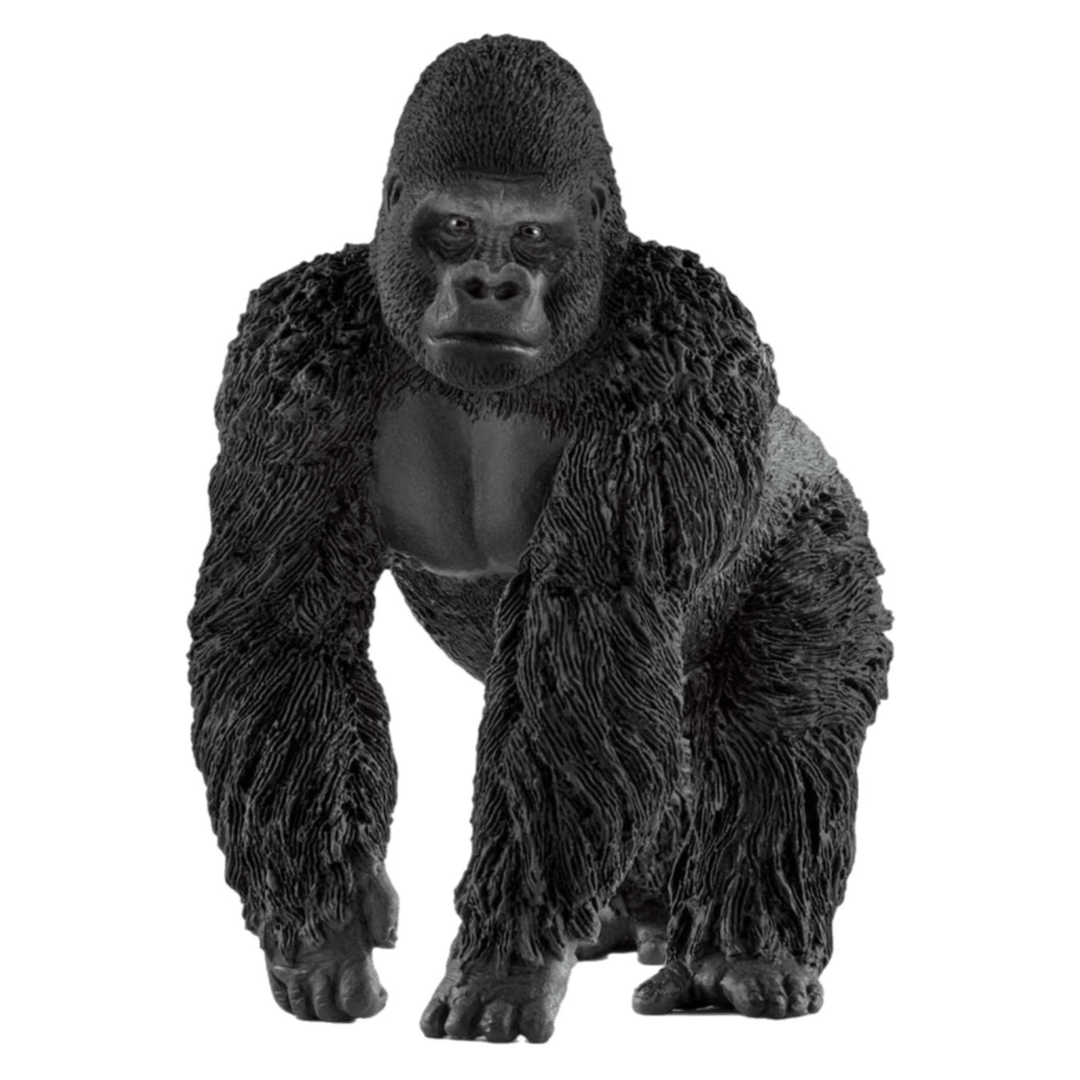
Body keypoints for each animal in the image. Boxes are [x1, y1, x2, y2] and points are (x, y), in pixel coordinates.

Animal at [186, 33, 893, 1042]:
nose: (490, 285)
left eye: (530, 236)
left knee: (777, 733)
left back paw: (742, 951)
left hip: (828, 530)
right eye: (452, 228)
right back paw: (635, 919)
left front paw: (505, 961)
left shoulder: (685, 339)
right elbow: (279, 627)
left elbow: (595, 617)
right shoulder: (288, 347)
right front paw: (324, 924)